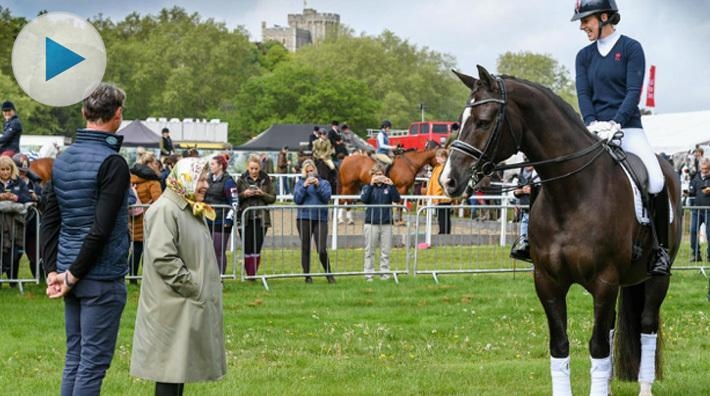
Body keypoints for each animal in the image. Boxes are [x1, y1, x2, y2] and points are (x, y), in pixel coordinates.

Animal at [442, 65, 680, 396]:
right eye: (461, 120)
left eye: (483, 122)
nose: (448, 180)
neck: (572, 193)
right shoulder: (547, 281)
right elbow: (560, 346)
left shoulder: (605, 280)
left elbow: (597, 347)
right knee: (612, 326)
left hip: (656, 278)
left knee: (647, 325)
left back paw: (645, 387)